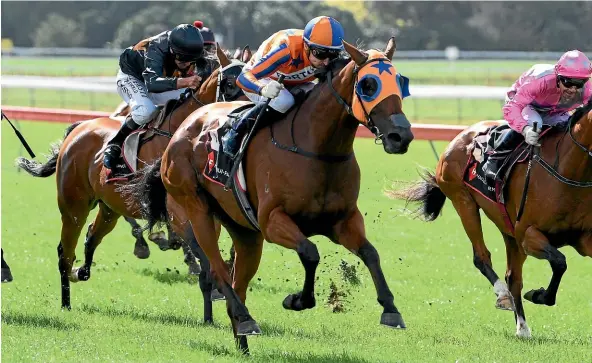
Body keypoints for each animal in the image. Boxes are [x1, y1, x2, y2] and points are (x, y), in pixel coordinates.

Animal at [15, 46, 245, 324]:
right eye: (230, 84)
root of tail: (79, 128)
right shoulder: (179, 214)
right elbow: (201, 259)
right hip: (73, 205)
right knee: (65, 251)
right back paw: (66, 302)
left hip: (109, 207)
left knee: (91, 236)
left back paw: (82, 271)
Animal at [132, 37, 414, 352]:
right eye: (368, 84)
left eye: (401, 81)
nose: (400, 136)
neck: (317, 149)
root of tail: (181, 131)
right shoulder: (272, 221)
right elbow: (310, 252)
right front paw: (297, 300)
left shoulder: (343, 220)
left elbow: (370, 253)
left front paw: (391, 310)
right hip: (197, 210)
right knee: (217, 271)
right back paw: (245, 319)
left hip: (244, 232)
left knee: (238, 282)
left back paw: (243, 339)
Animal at [390, 101, 588, 338]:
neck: (569, 170)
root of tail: (460, 136)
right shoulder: (528, 235)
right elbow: (559, 262)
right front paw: (538, 295)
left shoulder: (584, 239)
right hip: (463, 202)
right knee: (482, 257)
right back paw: (503, 296)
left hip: (505, 225)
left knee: (513, 276)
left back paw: (522, 327)